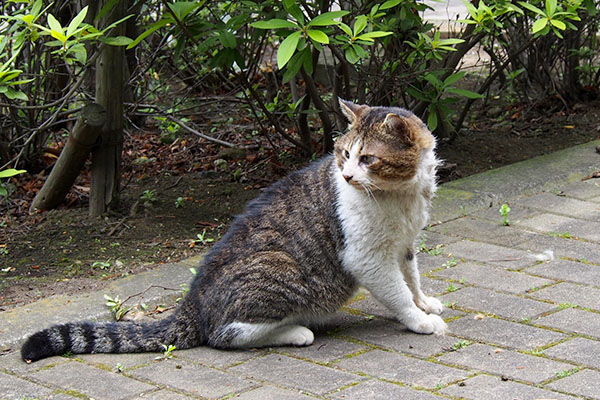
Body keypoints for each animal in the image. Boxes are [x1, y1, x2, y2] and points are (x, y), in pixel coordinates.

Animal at [19, 100, 446, 362]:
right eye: (344, 154)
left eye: (368, 159)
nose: (347, 176)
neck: (402, 196)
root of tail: (191, 303)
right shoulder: (367, 256)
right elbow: (397, 294)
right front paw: (419, 320)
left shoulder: (405, 244)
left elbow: (411, 278)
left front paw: (424, 303)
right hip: (280, 266)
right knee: (224, 334)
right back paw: (294, 332)